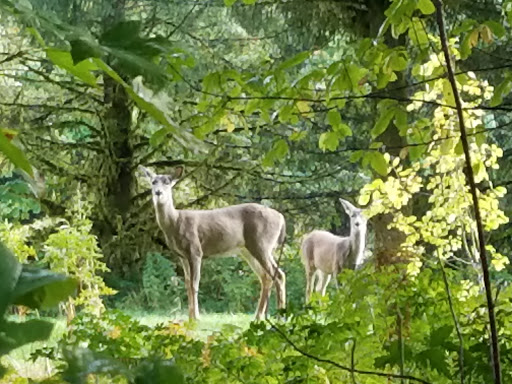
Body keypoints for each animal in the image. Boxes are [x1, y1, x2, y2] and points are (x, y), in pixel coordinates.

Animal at [138, 165, 286, 320]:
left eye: (167, 182)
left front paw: (196, 317)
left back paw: (280, 317)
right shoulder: (181, 255)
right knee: (266, 277)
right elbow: (187, 285)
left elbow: (194, 284)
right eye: (153, 182)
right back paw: (258, 316)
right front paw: (190, 317)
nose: (158, 192)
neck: (175, 222)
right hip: (247, 250)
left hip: (262, 243)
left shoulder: (195, 250)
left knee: (279, 275)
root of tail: (281, 218)